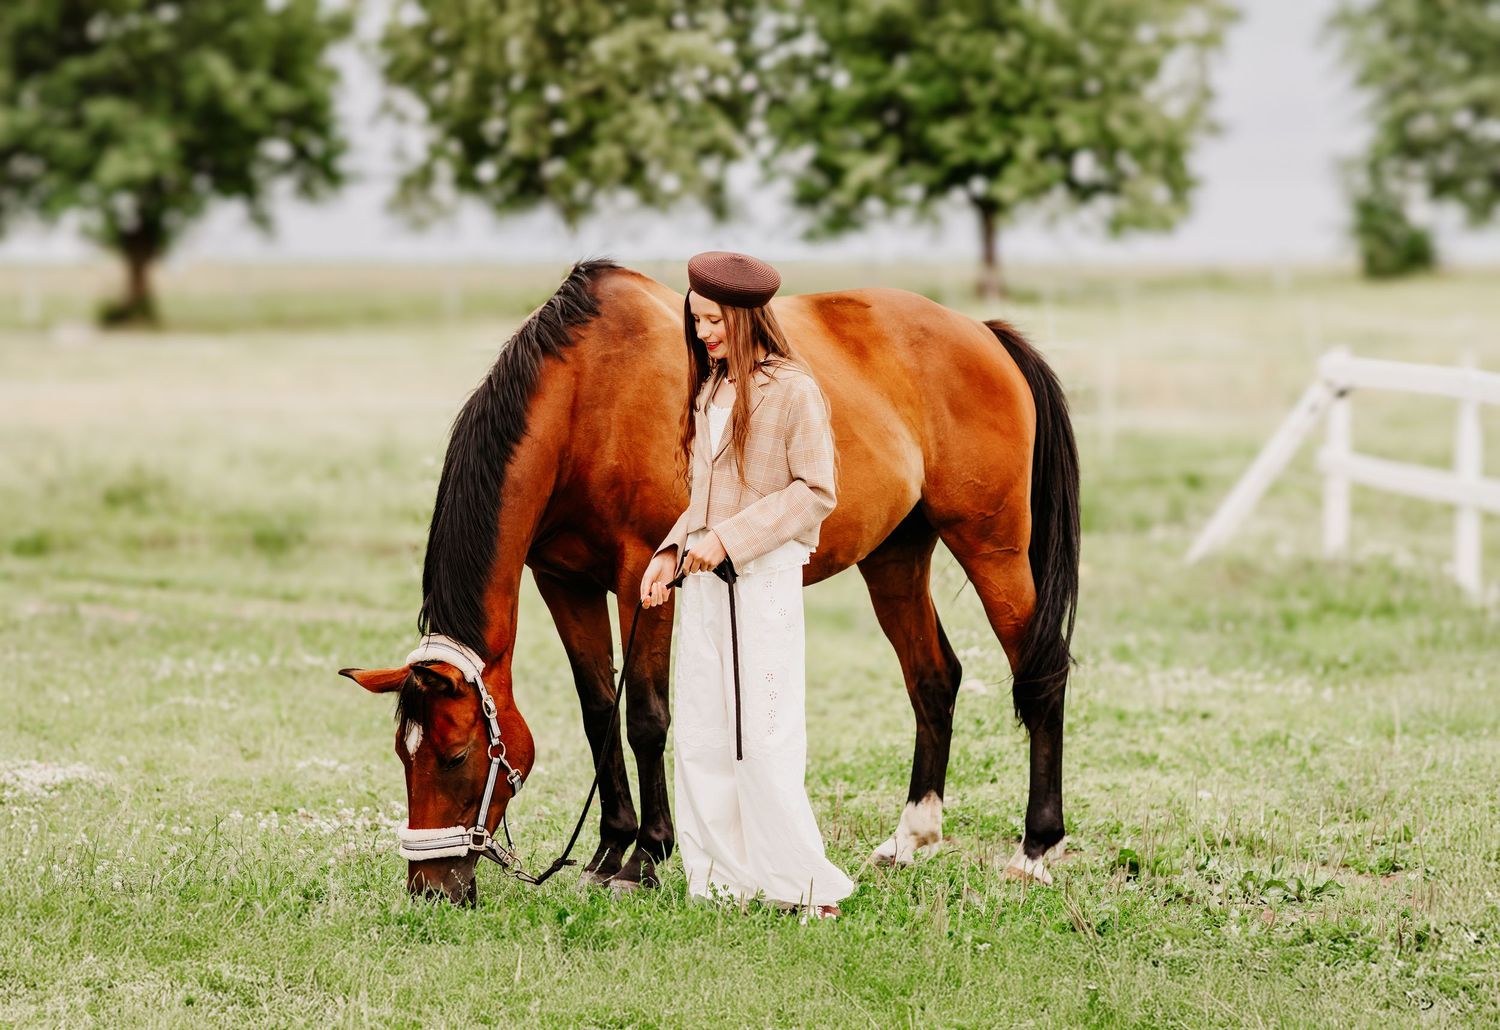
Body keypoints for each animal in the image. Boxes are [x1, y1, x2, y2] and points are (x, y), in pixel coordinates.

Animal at [340, 259, 1079, 903]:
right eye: (402, 754)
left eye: (456, 754)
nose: (430, 889)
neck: (588, 398)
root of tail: (983, 332)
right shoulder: (562, 581)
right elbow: (597, 710)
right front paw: (608, 850)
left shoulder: (646, 572)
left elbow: (644, 716)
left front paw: (645, 859)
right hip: (895, 557)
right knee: (933, 679)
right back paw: (910, 839)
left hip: (992, 548)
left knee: (1039, 676)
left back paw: (1034, 850)